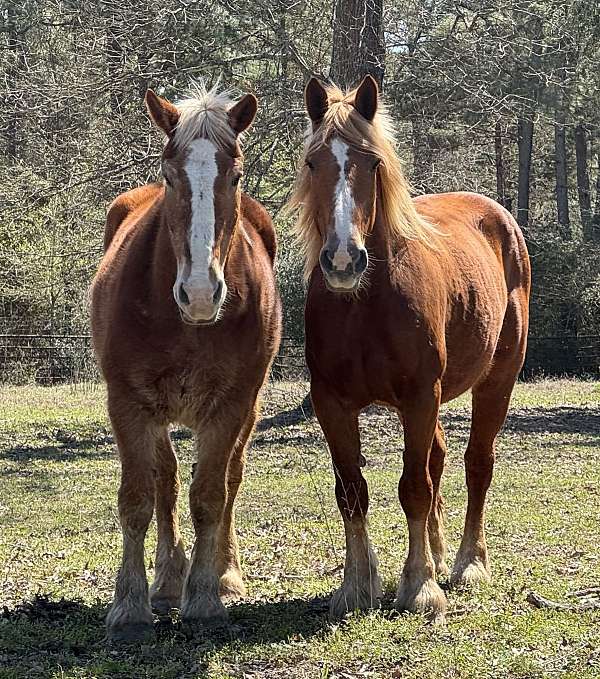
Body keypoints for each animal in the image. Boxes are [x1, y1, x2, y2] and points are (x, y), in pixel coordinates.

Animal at [91, 85, 282, 644]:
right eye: (170, 174)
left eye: (234, 175)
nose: (200, 293)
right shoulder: (129, 403)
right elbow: (138, 497)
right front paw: (130, 606)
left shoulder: (230, 406)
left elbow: (211, 495)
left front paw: (205, 598)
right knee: (165, 480)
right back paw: (167, 580)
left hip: (246, 409)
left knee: (229, 479)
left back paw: (223, 571)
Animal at [290, 77, 528, 624]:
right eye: (314, 163)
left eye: (373, 163)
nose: (343, 260)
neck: (365, 303)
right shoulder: (332, 403)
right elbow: (351, 491)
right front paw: (357, 585)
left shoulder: (420, 396)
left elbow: (414, 488)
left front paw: (419, 587)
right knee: (438, 460)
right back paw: (439, 557)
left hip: (497, 381)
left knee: (476, 464)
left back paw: (467, 564)